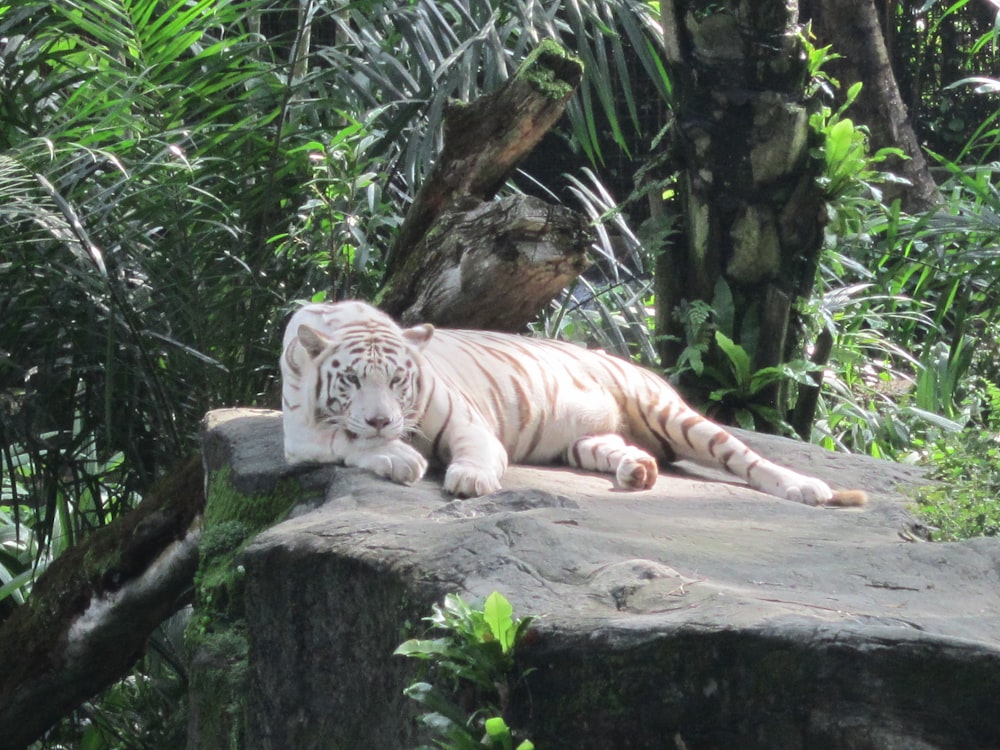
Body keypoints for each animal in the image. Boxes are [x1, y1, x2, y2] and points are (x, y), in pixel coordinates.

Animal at [282, 302, 868, 508]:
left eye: (399, 381)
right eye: (352, 380)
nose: (383, 417)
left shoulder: (468, 421)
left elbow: (474, 451)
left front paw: (468, 479)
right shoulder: (301, 433)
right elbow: (345, 437)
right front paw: (397, 455)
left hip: (671, 413)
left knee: (746, 457)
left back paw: (809, 488)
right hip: (586, 441)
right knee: (621, 451)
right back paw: (637, 471)